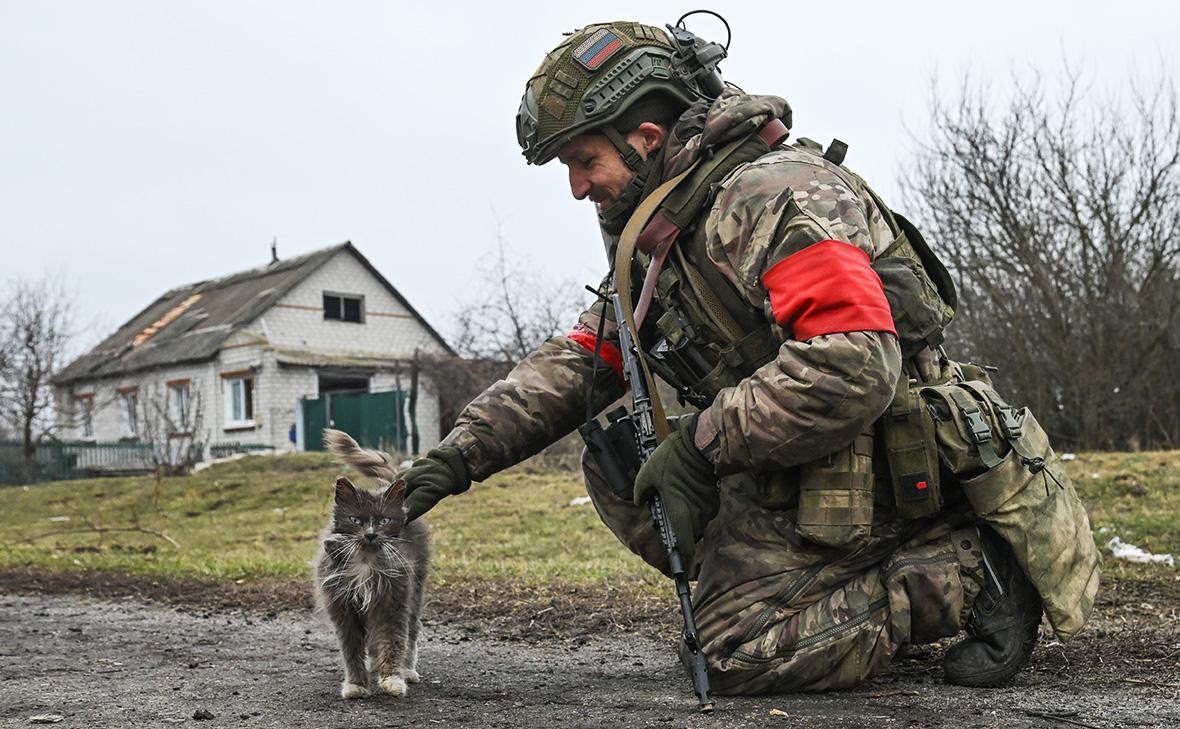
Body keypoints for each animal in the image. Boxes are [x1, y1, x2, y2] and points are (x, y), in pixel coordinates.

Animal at [316, 429, 431, 693]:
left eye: (384, 520)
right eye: (355, 520)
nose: (370, 534)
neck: (365, 560)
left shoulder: (393, 601)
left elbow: (393, 641)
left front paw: (392, 679)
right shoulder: (344, 608)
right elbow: (351, 650)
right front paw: (356, 684)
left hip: (415, 591)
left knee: (411, 631)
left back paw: (407, 670)